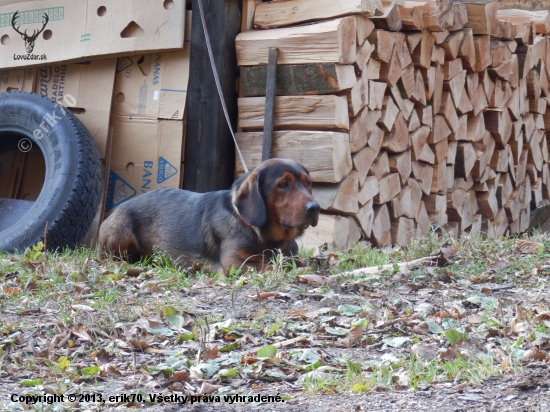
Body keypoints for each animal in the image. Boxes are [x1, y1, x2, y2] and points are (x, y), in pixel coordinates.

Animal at [99, 159, 322, 276]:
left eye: (308, 183)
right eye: (283, 184)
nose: (315, 208)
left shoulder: (293, 257)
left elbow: (300, 264)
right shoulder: (236, 264)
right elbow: (276, 267)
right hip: (121, 232)